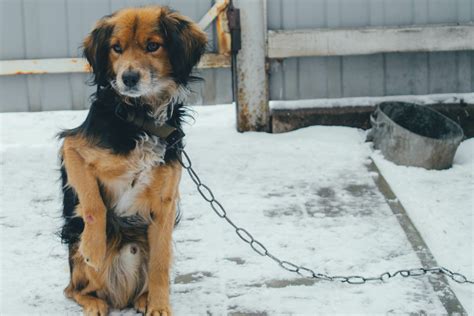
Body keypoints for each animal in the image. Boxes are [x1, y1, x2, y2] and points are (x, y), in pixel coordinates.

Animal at [58, 6, 206, 314]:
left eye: (152, 46)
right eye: (116, 48)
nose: (128, 78)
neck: (141, 117)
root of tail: (119, 297)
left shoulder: (164, 203)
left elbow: (160, 265)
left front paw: (159, 305)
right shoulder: (72, 148)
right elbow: (94, 204)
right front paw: (94, 248)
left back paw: (144, 298)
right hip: (76, 255)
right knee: (73, 289)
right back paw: (94, 301)